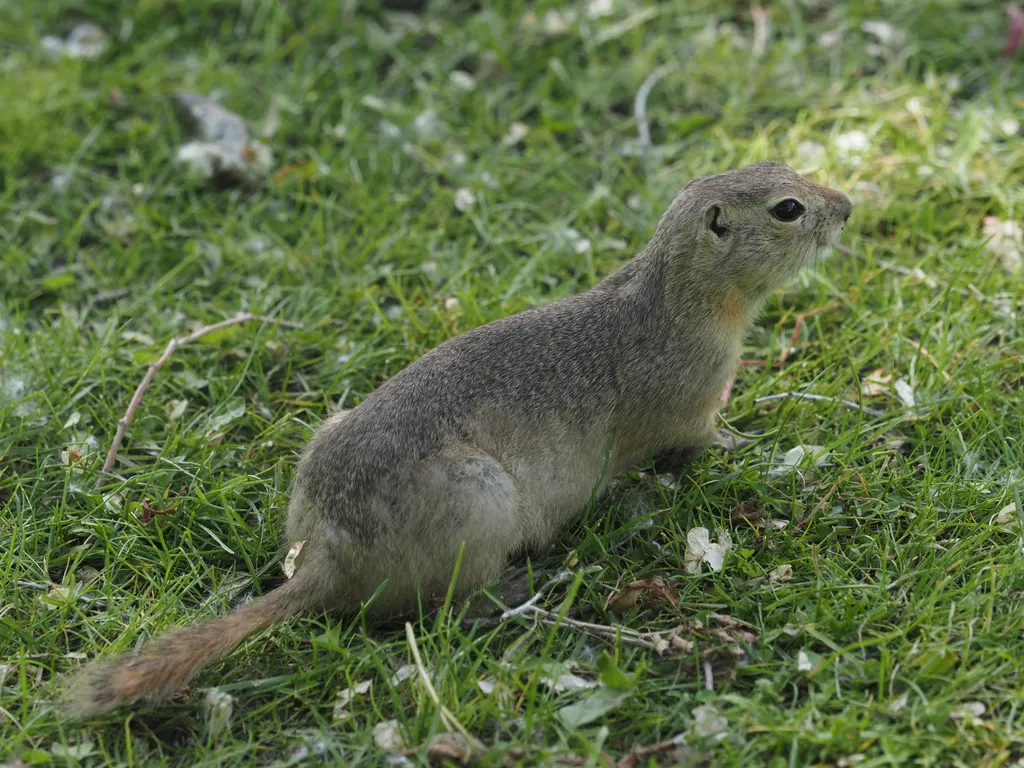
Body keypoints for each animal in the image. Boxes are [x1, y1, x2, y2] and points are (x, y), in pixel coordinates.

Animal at [59, 159, 851, 720]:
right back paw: (520, 586)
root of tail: (327, 553)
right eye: (788, 208)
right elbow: (699, 438)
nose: (847, 206)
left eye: (788, 169)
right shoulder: (690, 398)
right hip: (481, 500)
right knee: (445, 609)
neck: (673, 294)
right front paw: (746, 443)